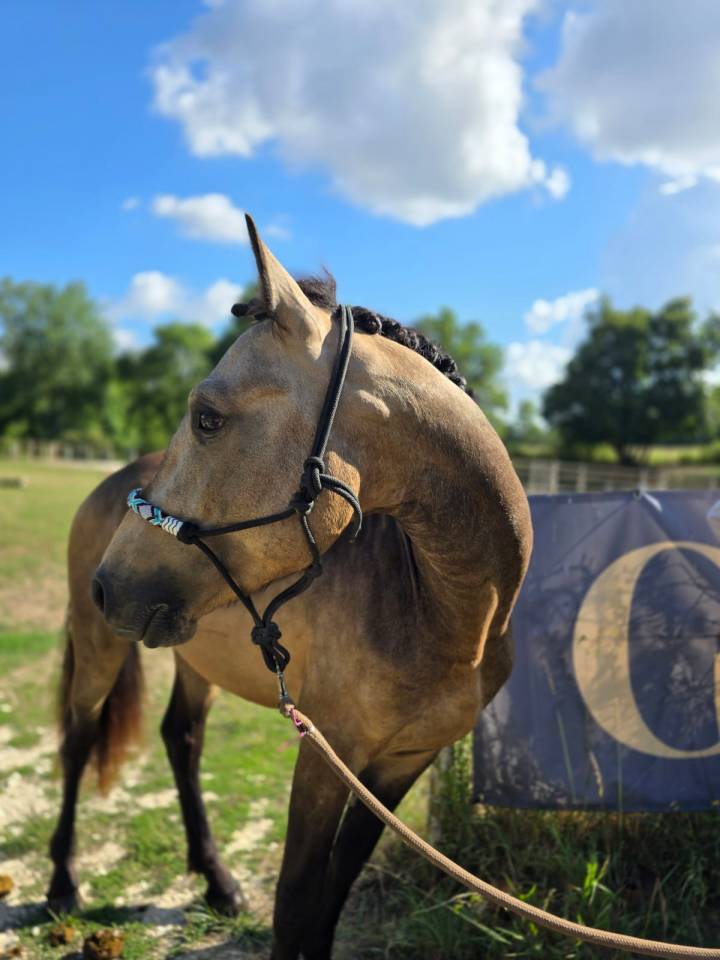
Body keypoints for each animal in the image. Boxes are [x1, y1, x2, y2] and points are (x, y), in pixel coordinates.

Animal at [47, 216, 533, 960]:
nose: (108, 585)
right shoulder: (327, 760)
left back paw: (217, 881)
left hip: (193, 655)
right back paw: (62, 886)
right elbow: (297, 902)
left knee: (181, 739)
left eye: (207, 417)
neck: (449, 617)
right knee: (77, 741)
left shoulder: (399, 767)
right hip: (99, 648)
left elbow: (332, 893)